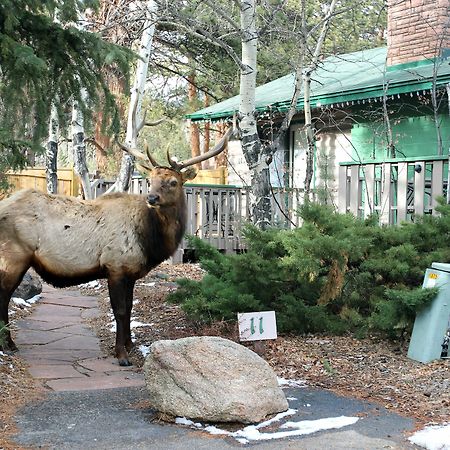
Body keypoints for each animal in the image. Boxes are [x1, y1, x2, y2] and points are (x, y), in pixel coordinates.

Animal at [2, 128, 236, 368]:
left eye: (173, 182)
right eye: (151, 180)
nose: (152, 197)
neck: (150, 239)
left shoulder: (131, 272)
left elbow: (131, 307)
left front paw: (130, 344)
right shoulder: (115, 266)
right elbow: (120, 310)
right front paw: (121, 354)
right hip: (14, 257)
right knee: (4, 297)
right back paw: (9, 344)